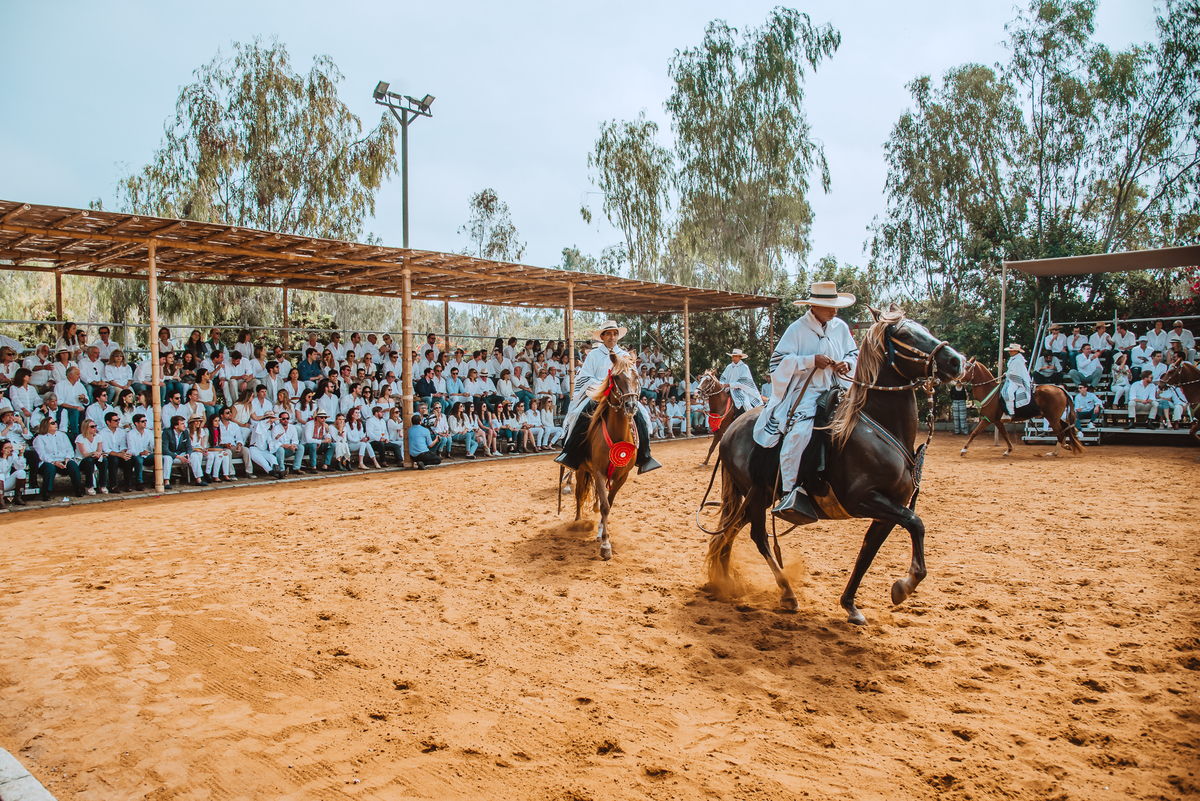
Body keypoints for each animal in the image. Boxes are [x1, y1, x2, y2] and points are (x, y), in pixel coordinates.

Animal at [566, 351, 640, 561]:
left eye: (636, 376)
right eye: (616, 377)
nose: (631, 405)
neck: (617, 435)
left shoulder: (622, 476)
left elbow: (609, 502)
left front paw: (602, 533)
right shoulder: (598, 471)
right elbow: (606, 505)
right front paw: (606, 546)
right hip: (582, 470)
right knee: (579, 495)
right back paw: (578, 522)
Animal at [701, 305, 966, 625]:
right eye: (904, 334)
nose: (955, 361)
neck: (874, 427)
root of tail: (732, 430)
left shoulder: (891, 508)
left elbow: (868, 552)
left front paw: (850, 604)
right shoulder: (862, 500)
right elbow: (916, 524)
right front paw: (906, 584)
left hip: (755, 497)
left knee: (732, 529)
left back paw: (725, 580)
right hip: (758, 495)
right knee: (757, 537)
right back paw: (786, 592)